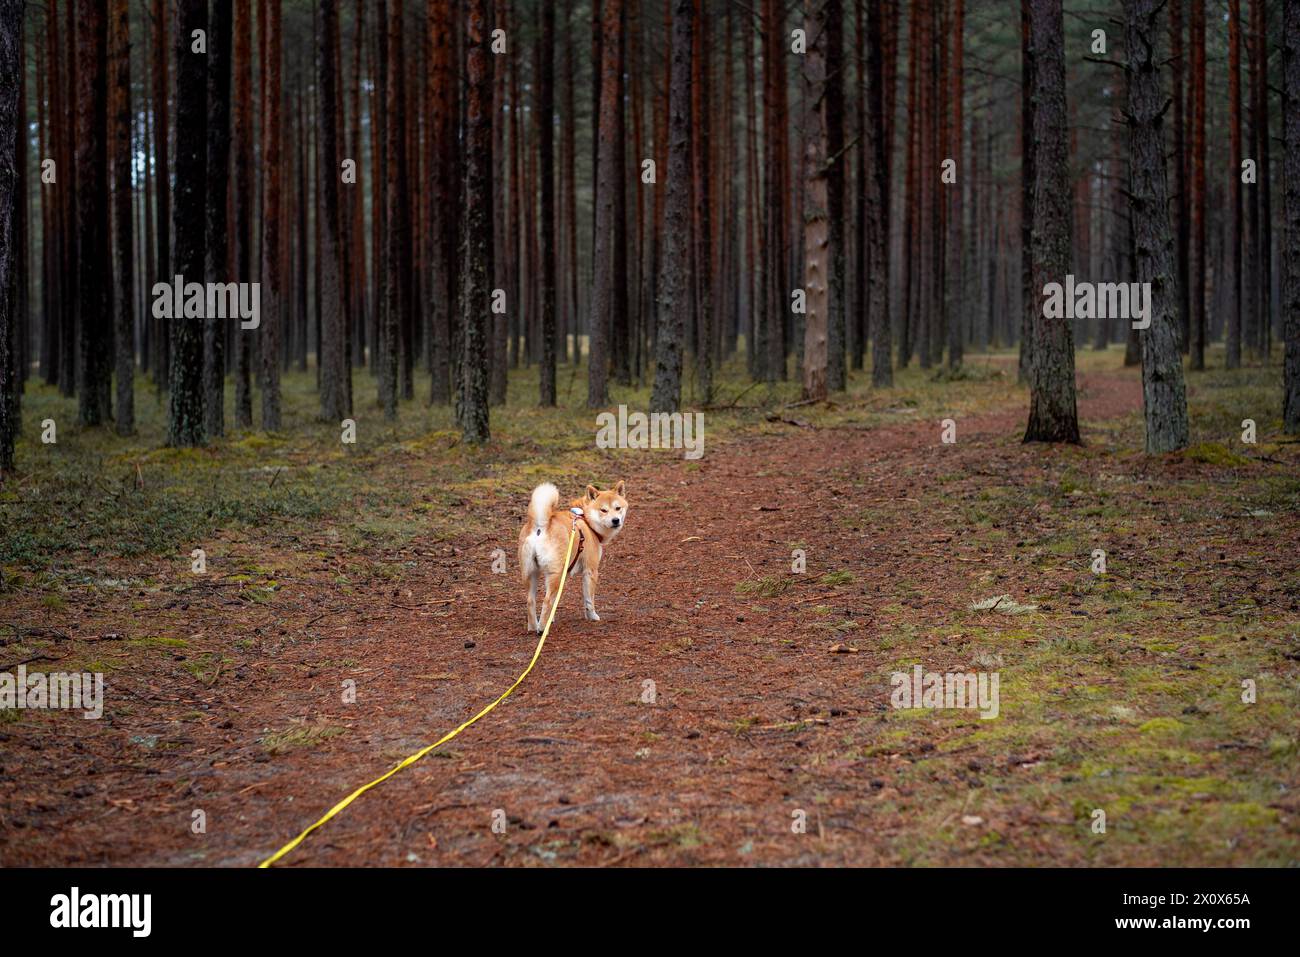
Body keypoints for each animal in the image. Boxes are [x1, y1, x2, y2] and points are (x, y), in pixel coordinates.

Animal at [514, 481, 626, 631]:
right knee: (546, 601)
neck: (585, 520)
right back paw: (542, 628)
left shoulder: (564, 574)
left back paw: (533, 627)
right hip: (555, 574)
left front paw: (552, 618)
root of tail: (540, 526)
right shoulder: (590, 571)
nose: (616, 520)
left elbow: (555, 601)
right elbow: (589, 600)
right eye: (603, 510)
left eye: (618, 508)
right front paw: (592, 617)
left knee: (530, 601)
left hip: (531, 574)